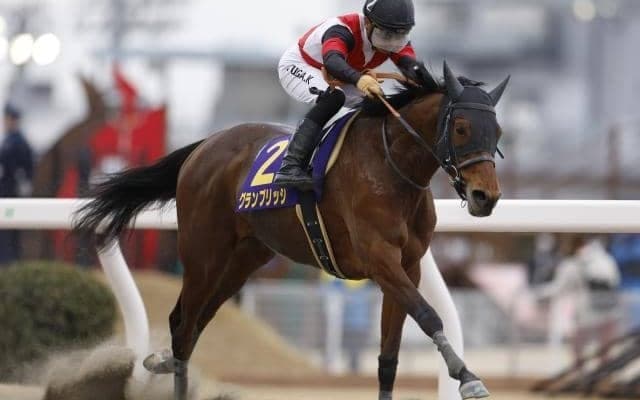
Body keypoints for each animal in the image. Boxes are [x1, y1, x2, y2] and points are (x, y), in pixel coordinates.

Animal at [74, 61, 509, 400]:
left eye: (498, 132)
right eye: (462, 128)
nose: (485, 197)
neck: (392, 166)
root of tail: (204, 146)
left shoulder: (409, 266)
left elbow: (389, 357)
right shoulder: (380, 260)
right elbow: (429, 314)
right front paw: (467, 377)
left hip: (242, 262)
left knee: (193, 325)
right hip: (203, 256)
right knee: (183, 329)